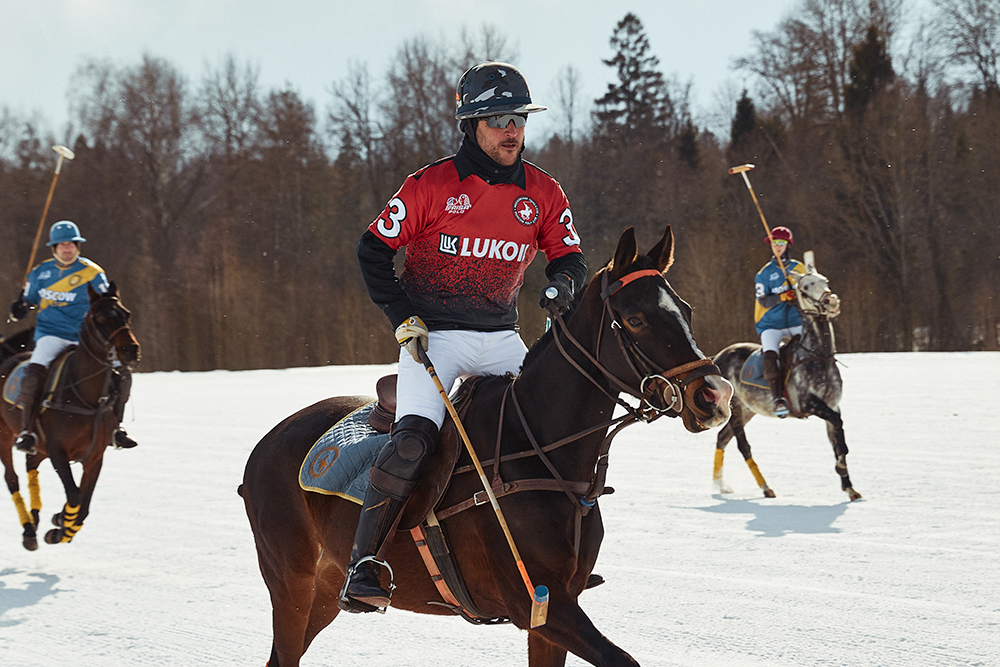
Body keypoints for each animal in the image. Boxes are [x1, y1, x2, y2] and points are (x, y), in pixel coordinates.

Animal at [0, 284, 141, 552]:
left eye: (126, 314)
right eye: (100, 318)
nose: (131, 349)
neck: (87, 398)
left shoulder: (95, 458)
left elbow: (83, 505)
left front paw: (61, 523)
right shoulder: (58, 451)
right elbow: (75, 495)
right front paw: (60, 527)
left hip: (39, 448)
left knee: (31, 466)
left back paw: (35, 520)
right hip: (5, 436)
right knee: (12, 478)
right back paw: (29, 529)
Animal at [242, 226, 736, 667]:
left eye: (686, 310)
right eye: (635, 319)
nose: (715, 395)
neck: (543, 454)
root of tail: (268, 440)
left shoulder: (553, 610)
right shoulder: (539, 603)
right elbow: (623, 659)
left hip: (324, 591)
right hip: (292, 583)